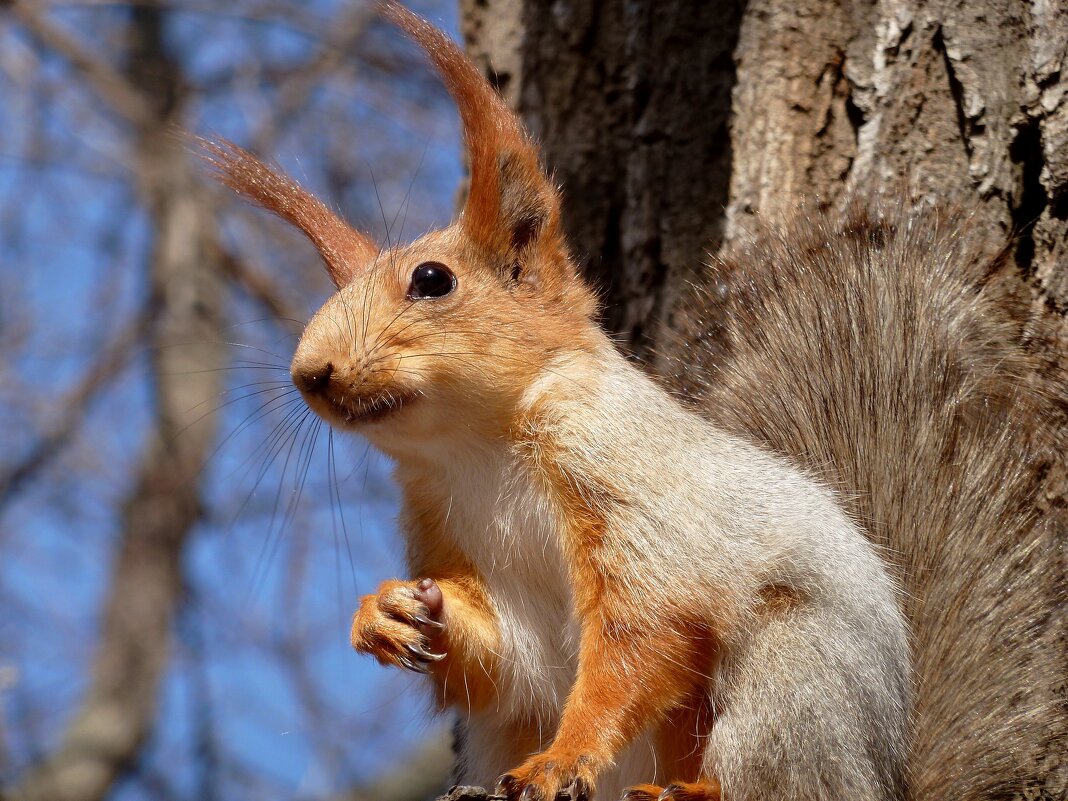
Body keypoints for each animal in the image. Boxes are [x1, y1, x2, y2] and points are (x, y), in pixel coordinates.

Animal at [203, 1, 1063, 801]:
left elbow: (636, 643)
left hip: (793, 672)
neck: (477, 447)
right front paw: (390, 611)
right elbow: (510, 660)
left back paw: (695, 789)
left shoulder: (633, 498)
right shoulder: (447, 529)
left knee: (779, 775)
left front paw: (562, 757)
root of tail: (881, 775)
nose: (309, 372)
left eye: (433, 280)